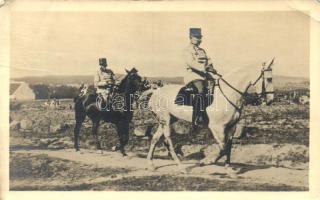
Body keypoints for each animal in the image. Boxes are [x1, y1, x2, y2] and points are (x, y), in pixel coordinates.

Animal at [144, 58, 274, 171]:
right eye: (269, 79)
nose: (270, 100)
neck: (228, 94)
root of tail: (155, 92)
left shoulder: (231, 127)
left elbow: (228, 147)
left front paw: (228, 168)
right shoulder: (217, 128)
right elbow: (223, 148)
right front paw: (207, 161)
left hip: (170, 119)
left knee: (155, 139)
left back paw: (150, 164)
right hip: (165, 119)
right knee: (168, 140)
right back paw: (180, 166)